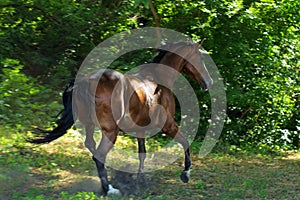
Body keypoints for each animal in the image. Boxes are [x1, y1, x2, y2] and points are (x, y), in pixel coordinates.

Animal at [27, 39, 212, 196]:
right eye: (201, 58)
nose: (209, 82)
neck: (158, 81)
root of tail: (86, 81)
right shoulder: (168, 125)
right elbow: (185, 142)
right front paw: (186, 174)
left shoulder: (140, 130)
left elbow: (142, 153)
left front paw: (140, 181)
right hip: (110, 131)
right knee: (99, 155)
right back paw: (110, 189)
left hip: (90, 125)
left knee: (91, 146)